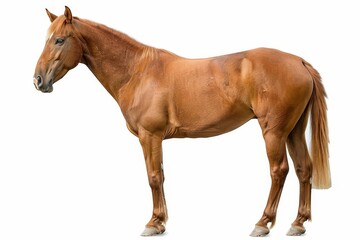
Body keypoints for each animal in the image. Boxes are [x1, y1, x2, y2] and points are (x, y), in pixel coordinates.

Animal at [32, 6, 330, 237]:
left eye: (59, 40)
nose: (38, 80)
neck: (138, 72)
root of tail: (299, 62)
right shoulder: (155, 139)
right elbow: (161, 175)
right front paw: (162, 221)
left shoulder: (149, 136)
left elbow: (153, 177)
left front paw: (153, 223)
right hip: (293, 130)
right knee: (304, 169)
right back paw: (298, 224)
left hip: (274, 132)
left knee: (279, 171)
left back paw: (263, 223)